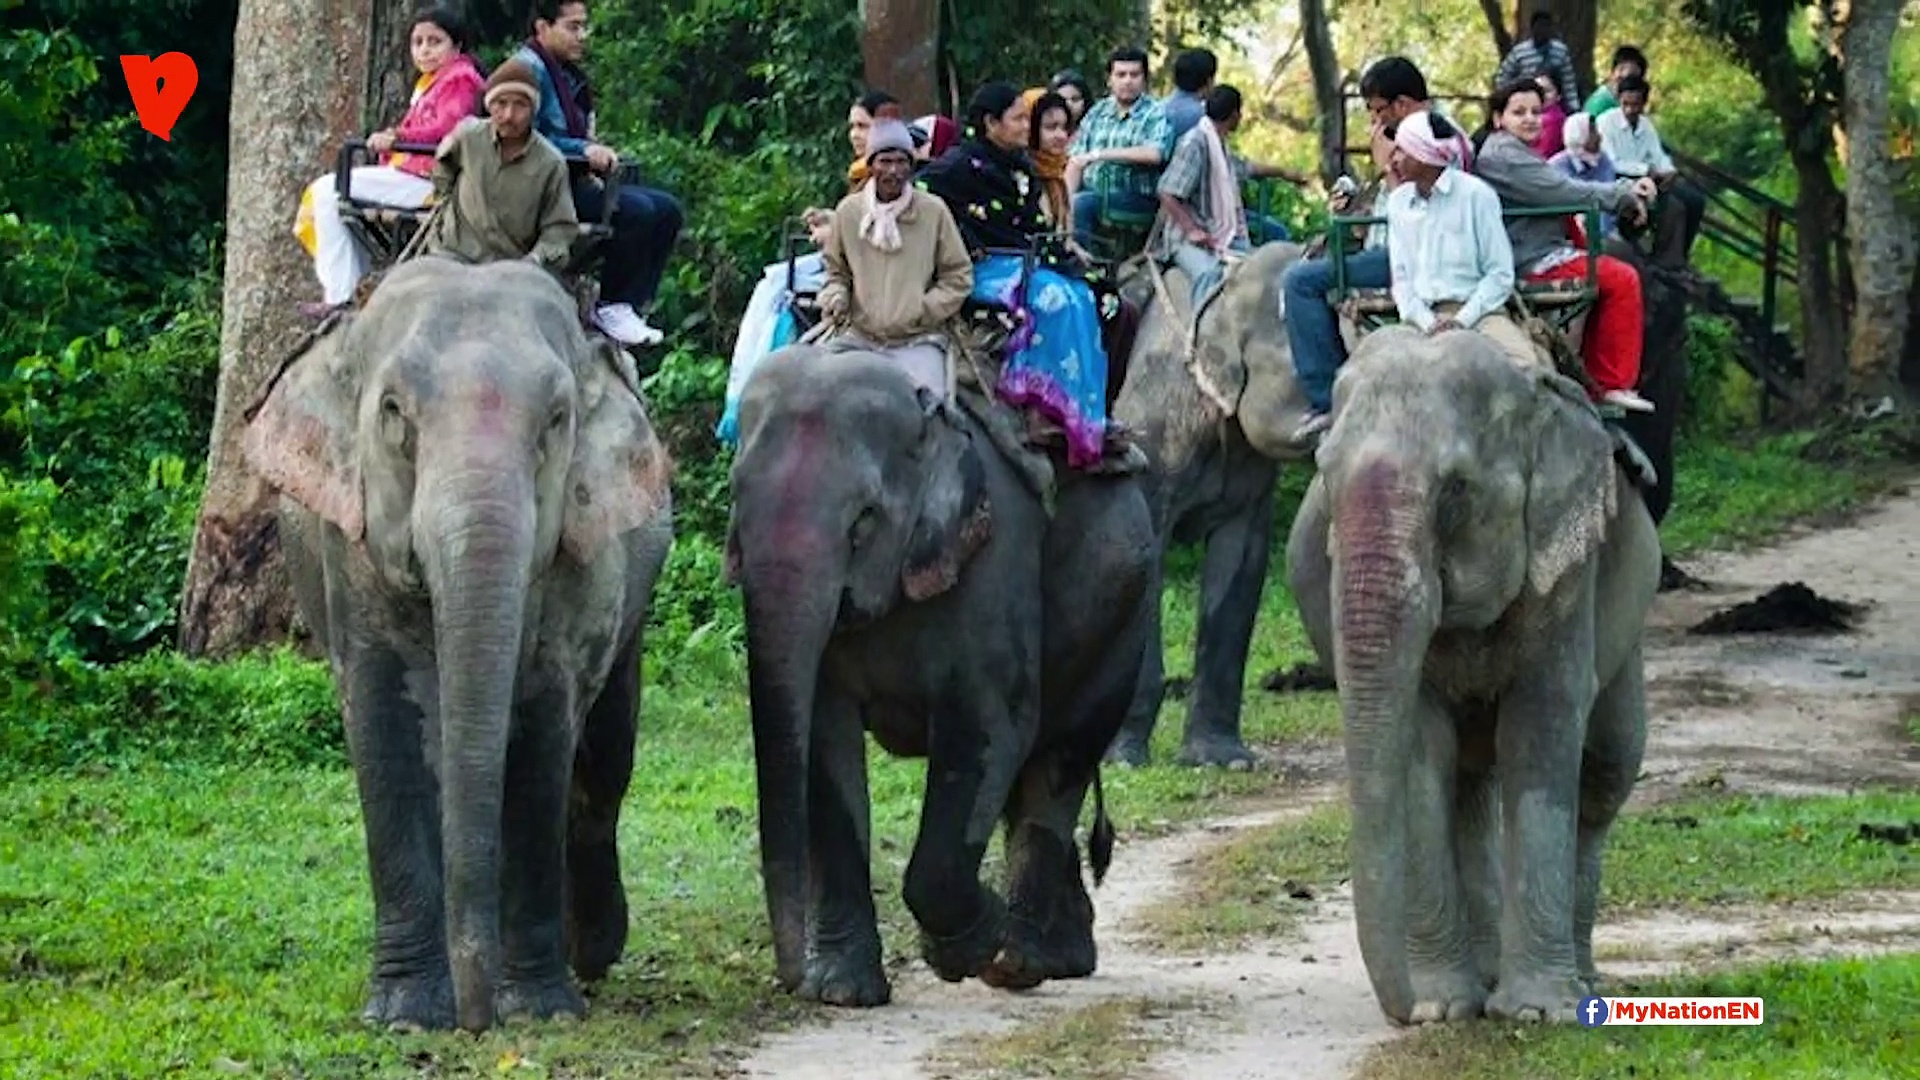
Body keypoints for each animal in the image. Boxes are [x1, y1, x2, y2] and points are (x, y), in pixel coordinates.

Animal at [241, 256, 674, 1032]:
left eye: (557, 420)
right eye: (392, 413)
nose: (478, 1024)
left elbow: (543, 729)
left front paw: (538, 1011)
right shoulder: (345, 548)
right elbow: (381, 717)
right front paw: (407, 1015)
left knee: (603, 764)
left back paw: (589, 952)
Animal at [723, 343, 1155, 1007]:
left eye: (864, 521)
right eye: (735, 503)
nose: (789, 980)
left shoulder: (994, 561)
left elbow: (988, 729)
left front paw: (967, 948)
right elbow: (825, 744)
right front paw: (842, 992)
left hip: (1124, 617)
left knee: (1058, 762)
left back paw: (1020, 959)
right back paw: (1060, 955)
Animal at [1283, 324, 1660, 1026]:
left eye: (1455, 491)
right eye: (1324, 475)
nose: (1402, 1011)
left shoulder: (1566, 572)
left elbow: (1541, 731)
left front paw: (1538, 1014)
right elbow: (1420, 747)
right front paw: (1443, 1008)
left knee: (1605, 772)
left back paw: (1584, 985)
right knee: (1470, 781)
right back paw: (1486, 981)